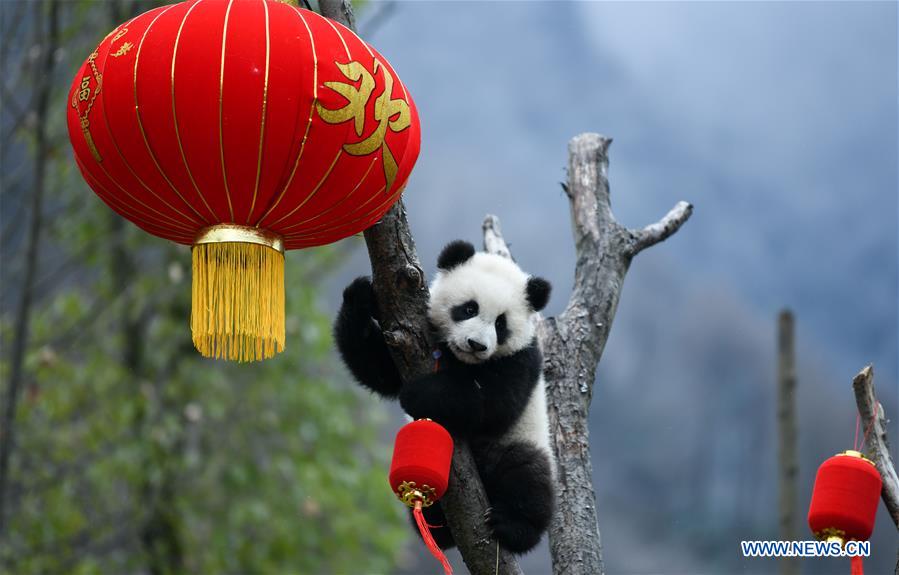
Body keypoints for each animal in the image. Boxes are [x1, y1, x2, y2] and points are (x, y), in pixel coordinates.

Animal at [334, 239, 555, 554]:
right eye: (469, 308)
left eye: (501, 324)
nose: (476, 344)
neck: (461, 360)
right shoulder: (406, 343)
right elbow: (378, 370)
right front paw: (361, 296)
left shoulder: (522, 359)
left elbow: (492, 402)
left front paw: (418, 394)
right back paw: (438, 527)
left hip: (520, 442)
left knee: (527, 479)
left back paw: (510, 525)